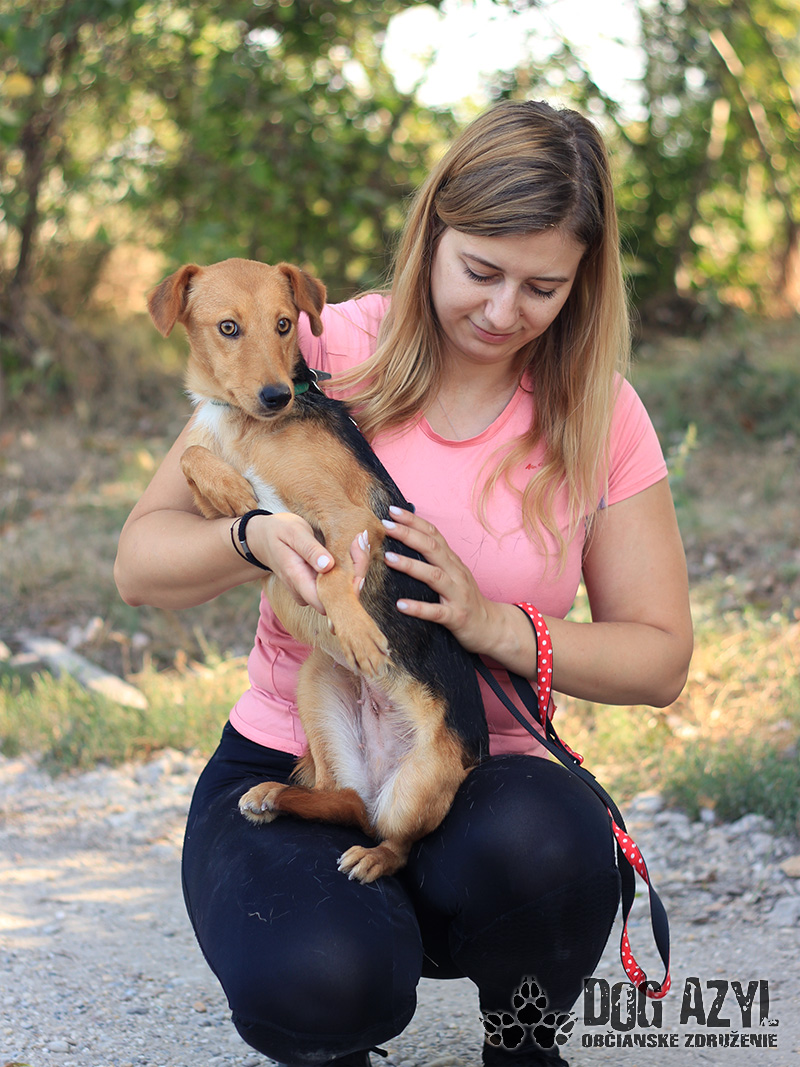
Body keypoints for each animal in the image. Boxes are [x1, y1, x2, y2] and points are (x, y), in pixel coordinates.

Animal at [148, 257, 488, 882]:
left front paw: (357, 631)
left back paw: (371, 857)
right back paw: (275, 797)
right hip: (316, 688)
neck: (246, 424)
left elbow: (330, 573)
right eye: (228, 328)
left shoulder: (352, 517)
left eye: (285, 324)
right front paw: (232, 487)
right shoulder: (216, 512)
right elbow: (193, 457)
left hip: (420, 784)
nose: (276, 396)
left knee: (393, 837)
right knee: (346, 801)